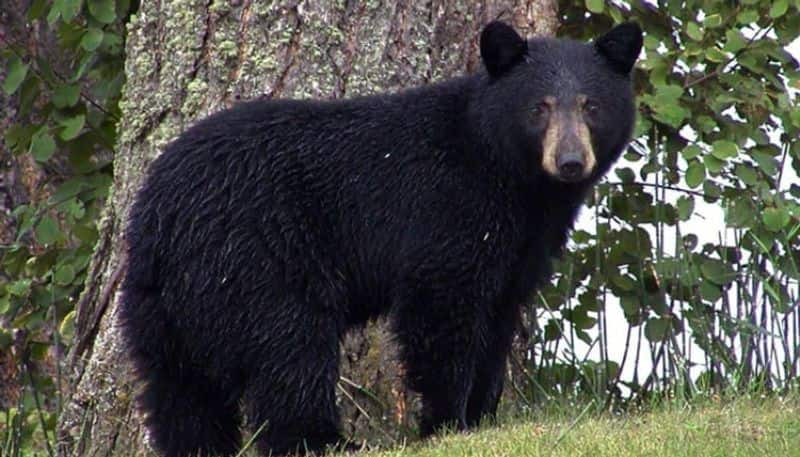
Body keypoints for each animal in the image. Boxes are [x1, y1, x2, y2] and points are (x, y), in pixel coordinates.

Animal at [119, 19, 644, 454]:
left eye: (591, 106)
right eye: (539, 108)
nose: (571, 161)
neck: (510, 176)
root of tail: (158, 217)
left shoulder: (521, 246)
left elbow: (498, 319)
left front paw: (483, 417)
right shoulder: (448, 210)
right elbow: (441, 310)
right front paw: (446, 423)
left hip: (163, 308)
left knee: (181, 392)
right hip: (256, 261)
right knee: (290, 351)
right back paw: (327, 441)